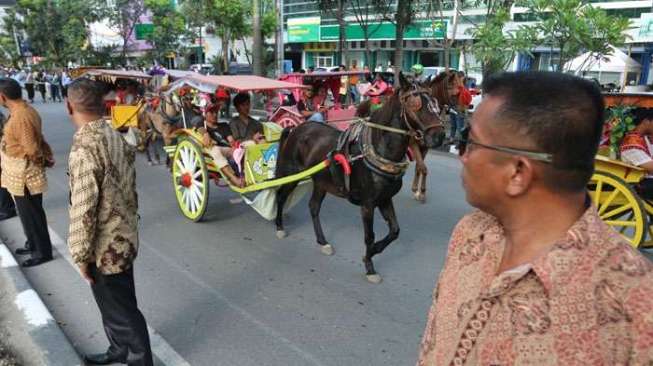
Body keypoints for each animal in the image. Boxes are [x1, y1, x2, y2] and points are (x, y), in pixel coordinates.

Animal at [270, 72, 444, 284]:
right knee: (281, 196)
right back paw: (279, 226)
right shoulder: (368, 204)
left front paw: (372, 252)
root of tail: (297, 129)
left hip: (322, 182)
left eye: (434, 102)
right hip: (292, 173)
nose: (440, 135)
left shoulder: (385, 199)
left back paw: (322, 241)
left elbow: (394, 231)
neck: (379, 149)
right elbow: (369, 235)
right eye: (415, 104)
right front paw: (369, 267)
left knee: (314, 207)